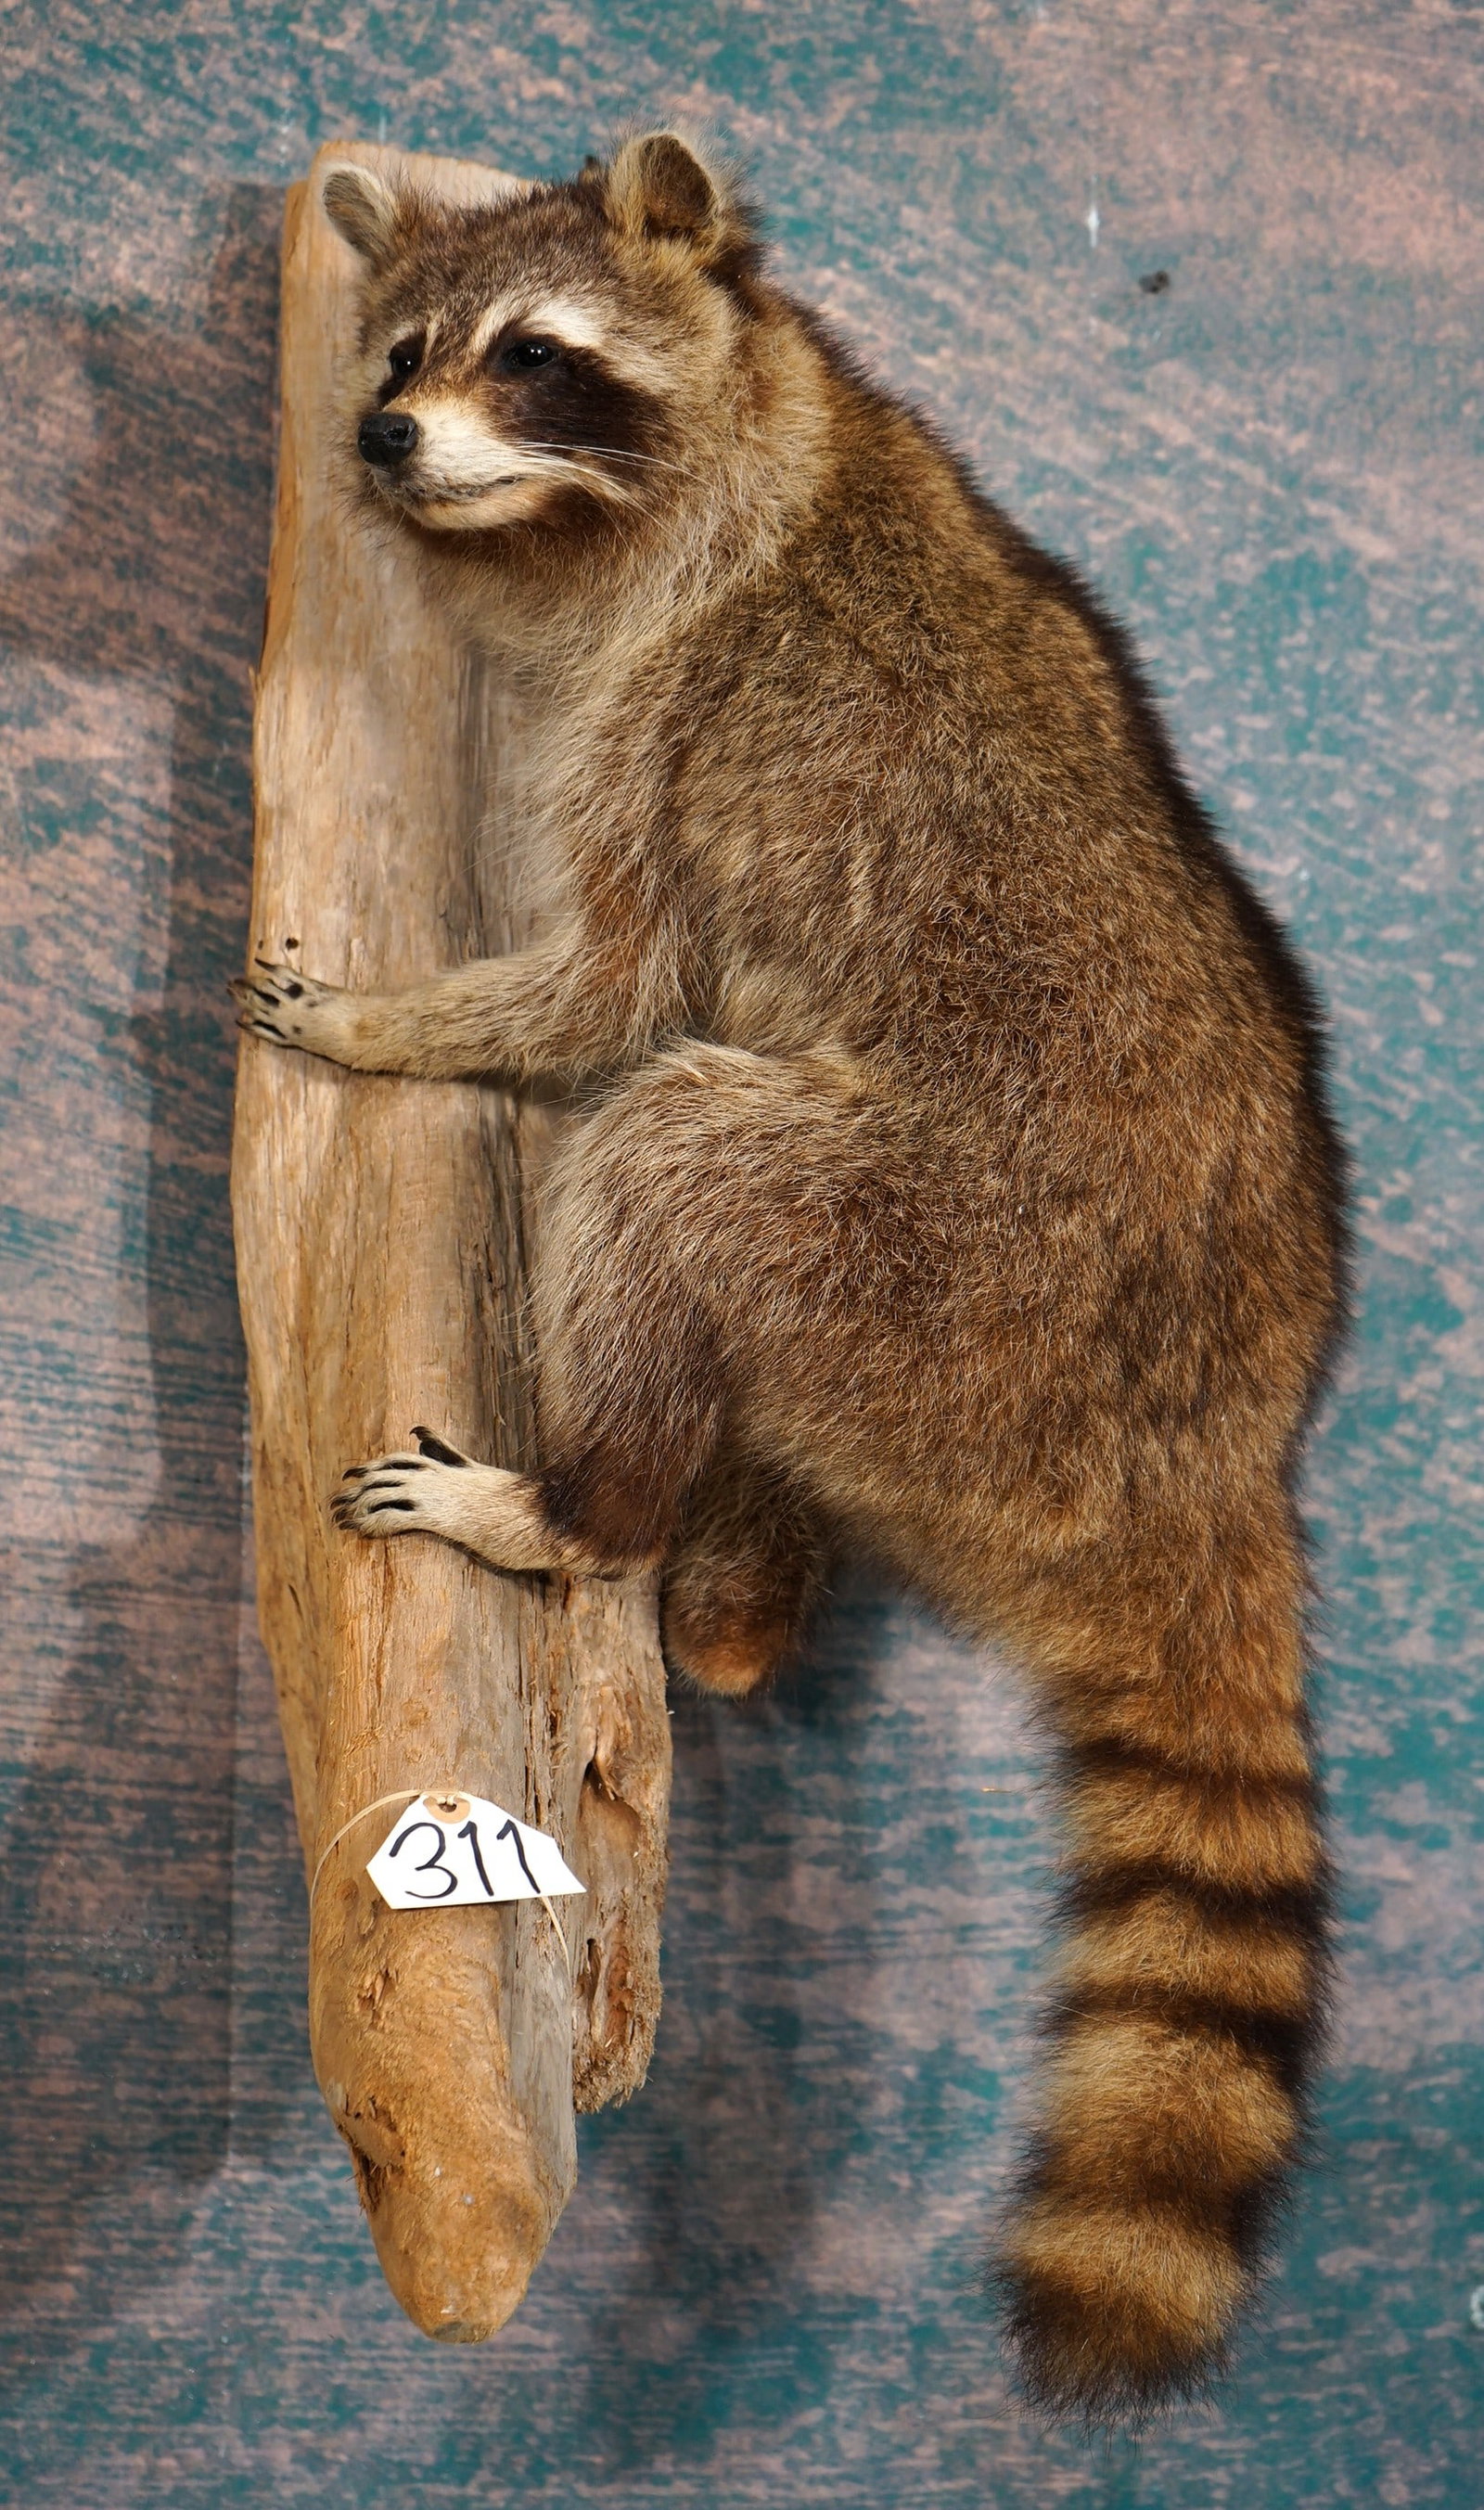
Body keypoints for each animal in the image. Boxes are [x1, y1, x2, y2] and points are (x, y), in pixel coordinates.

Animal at [235, 133, 1347, 2421]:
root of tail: (1212, 1440)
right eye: (396, 357)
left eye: (529, 357)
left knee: (680, 1144)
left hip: (945, 1261)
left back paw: (585, 1503)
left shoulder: (667, 711)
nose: (380, 440)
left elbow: (606, 992)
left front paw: (399, 1023)